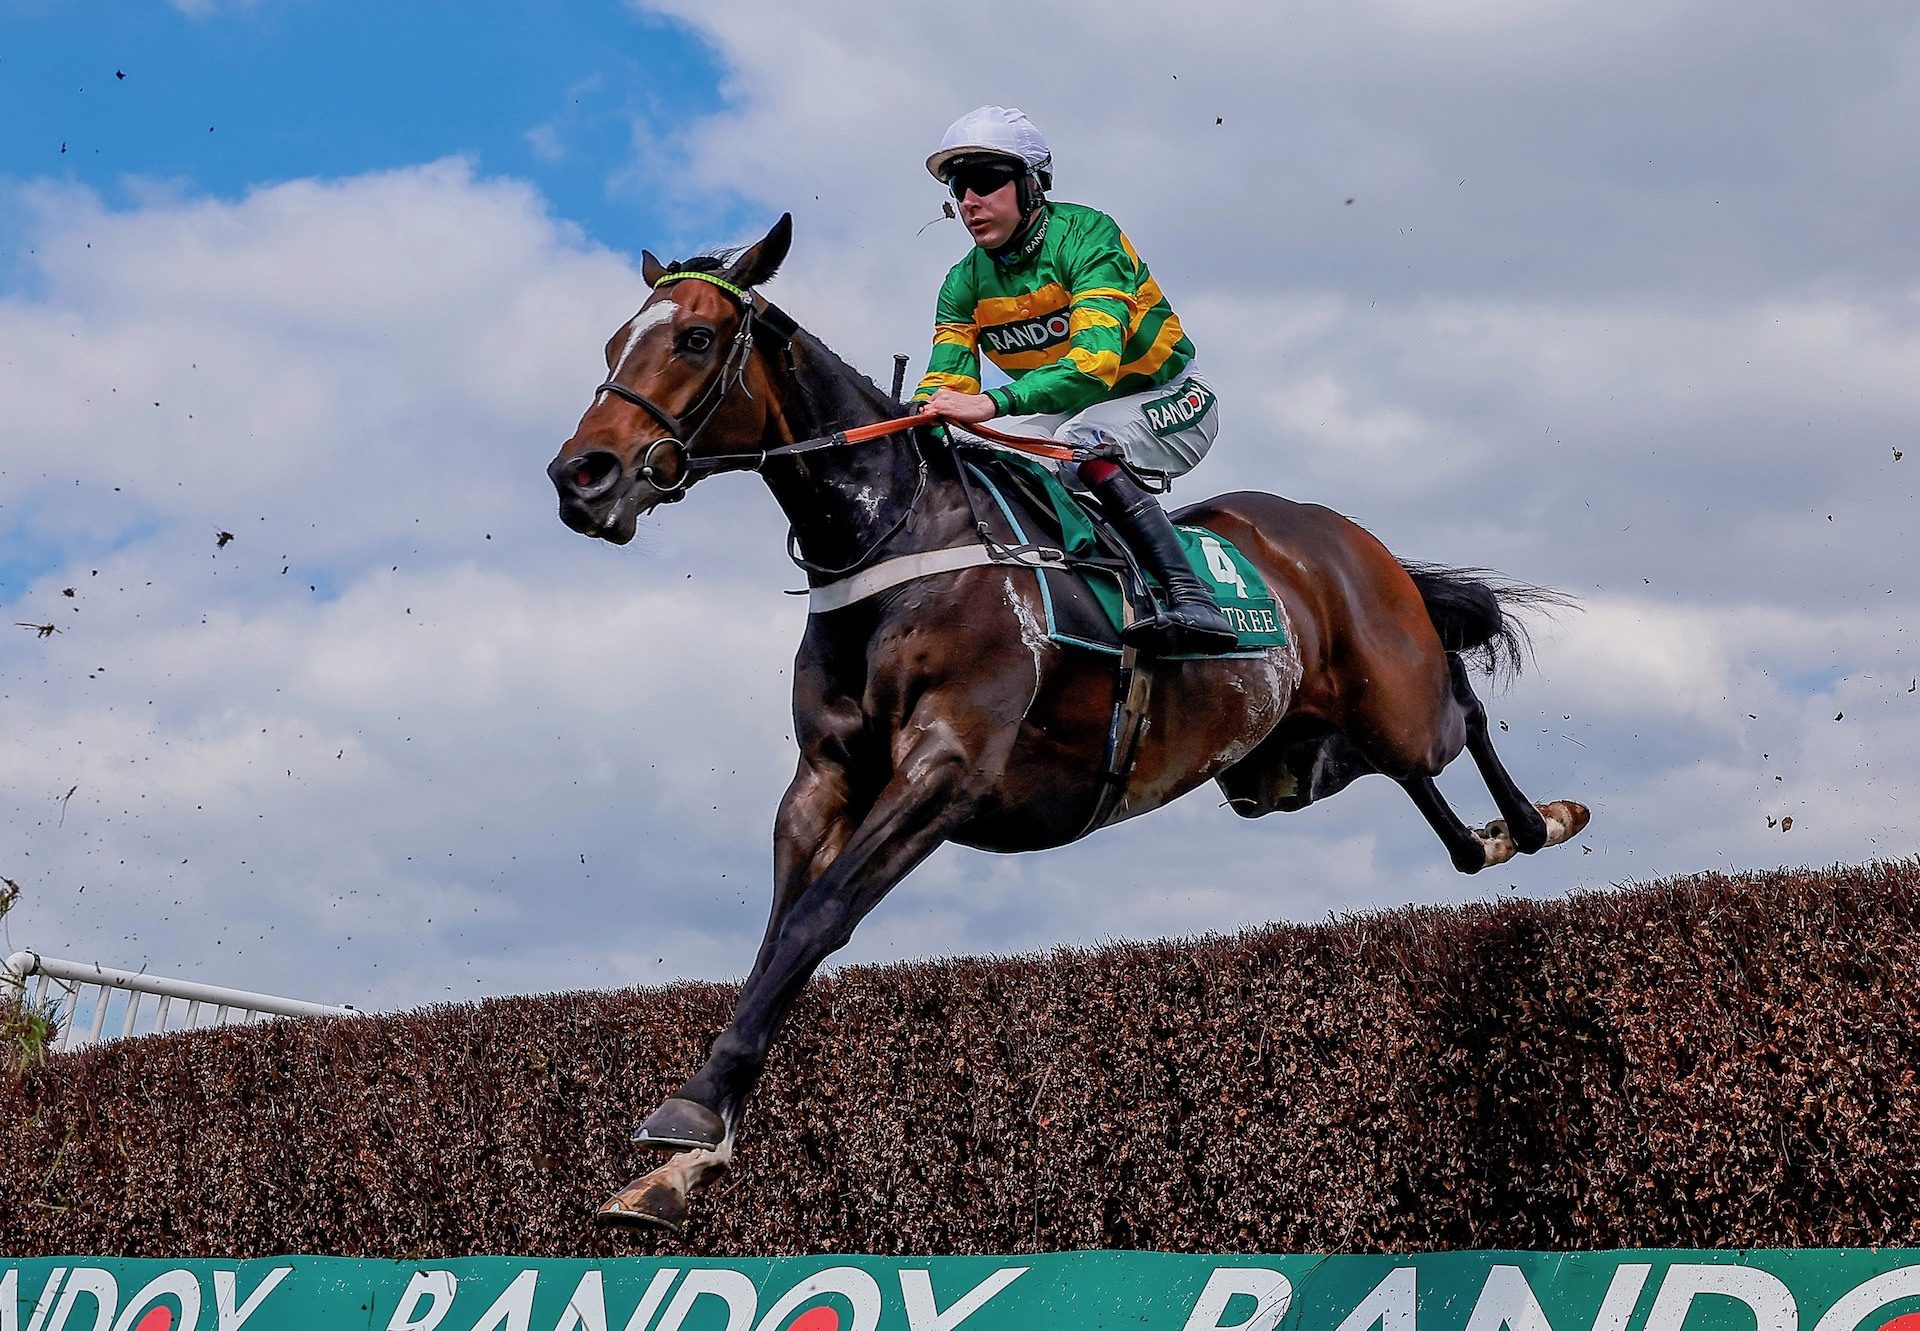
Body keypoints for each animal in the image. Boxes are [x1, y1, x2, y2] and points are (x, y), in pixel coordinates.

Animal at [545, 215, 1589, 1221]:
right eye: (612, 341)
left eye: (696, 337)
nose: (580, 476)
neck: (895, 538)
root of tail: (1342, 537)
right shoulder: (826, 776)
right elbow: (776, 934)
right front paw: (686, 1157)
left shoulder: (949, 765)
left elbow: (818, 917)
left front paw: (690, 1115)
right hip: (1284, 766)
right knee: (1420, 790)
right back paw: (1488, 838)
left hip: (1390, 694)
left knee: (1462, 708)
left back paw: (1539, 820)